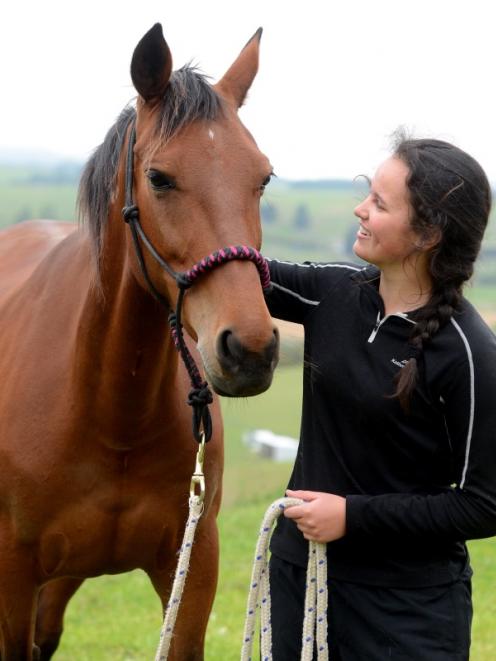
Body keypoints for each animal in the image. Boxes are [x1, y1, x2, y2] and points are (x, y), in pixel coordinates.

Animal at [0, 23, 280, 656]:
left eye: (263, 177)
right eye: (159, 178)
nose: (249, 349)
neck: (110, 414)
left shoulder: (191, 566)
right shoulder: (12, 576)